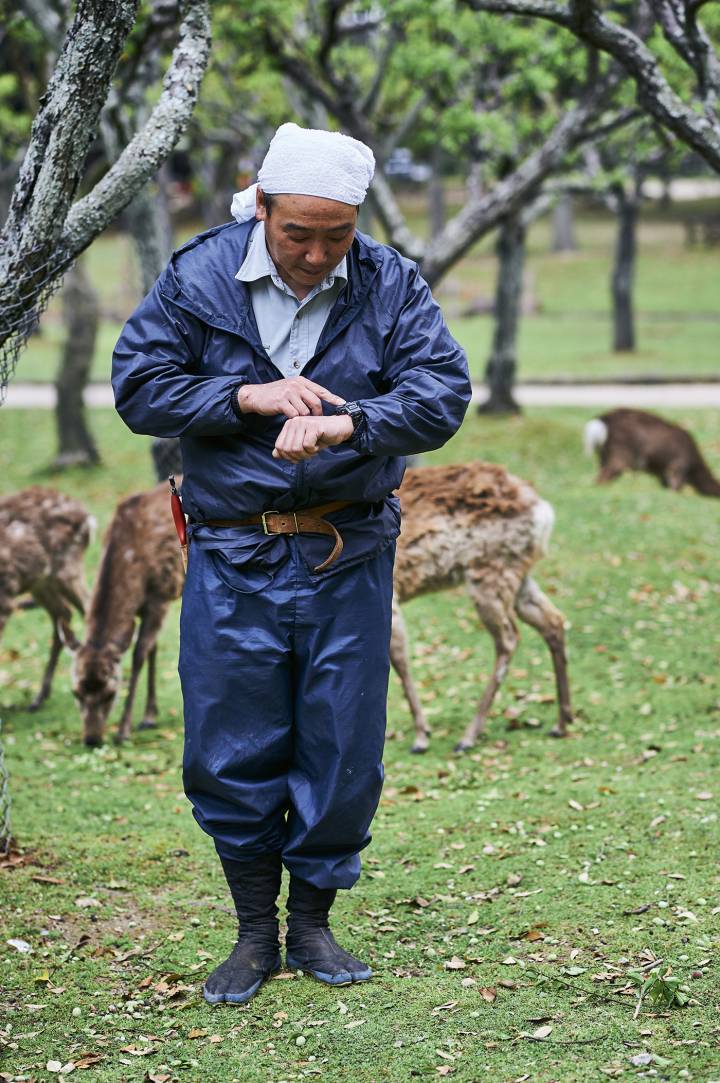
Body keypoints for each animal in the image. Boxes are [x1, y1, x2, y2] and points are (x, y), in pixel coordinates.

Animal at [0, 489, 93, 710]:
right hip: (40, 582)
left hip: (67, 569)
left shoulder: (5, 592)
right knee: (63, 613)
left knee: (87, 606)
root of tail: (87, 517)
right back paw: (40, 697)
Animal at [73, 463, 571, 753]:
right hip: (516, 570)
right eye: (77, 692)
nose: (91, 738)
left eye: (108, 691)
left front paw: (420, 735)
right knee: (553, 621)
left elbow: (398, 656)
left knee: (509, 638)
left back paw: (470, 735)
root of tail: (544, 511)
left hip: (489, 571)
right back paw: (561, 721)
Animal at [584, 407, 718, 496]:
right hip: (621, 453)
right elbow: (675, 487)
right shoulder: (677, 466)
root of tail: (601, 421)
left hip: (604, 454)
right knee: (604, 475)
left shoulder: (663, 472)